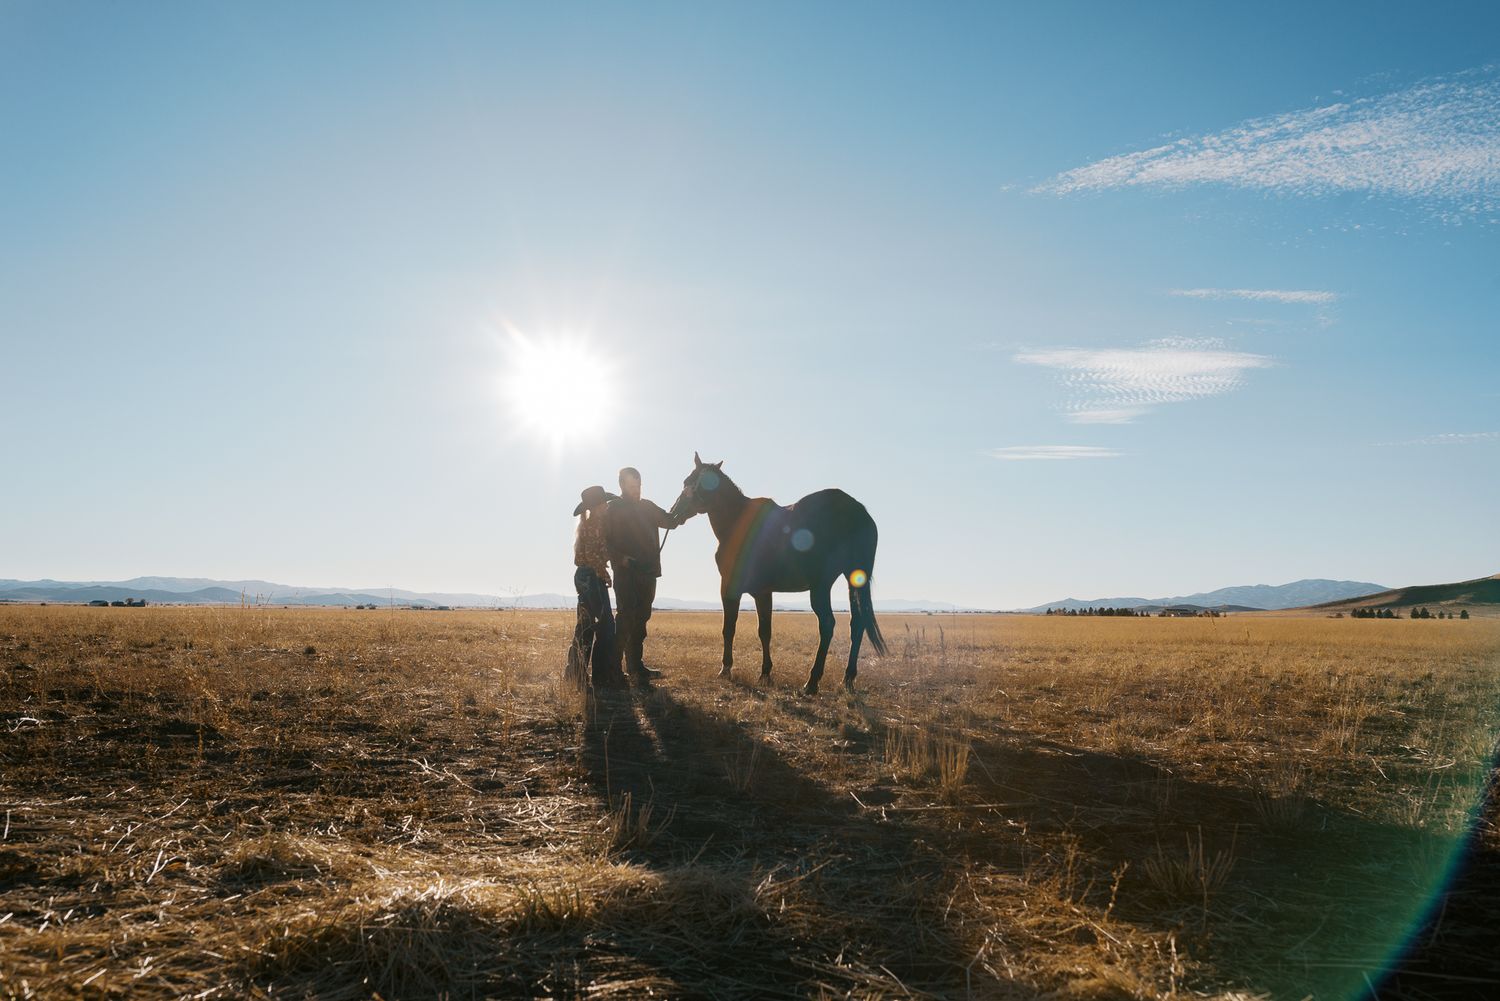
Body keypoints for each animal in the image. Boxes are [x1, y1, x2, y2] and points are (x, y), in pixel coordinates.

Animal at [667, 453, 888, 694]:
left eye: (690, 482)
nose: (674, 513)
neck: (737, 522)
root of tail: (857, 512)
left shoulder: (729, 587)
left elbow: (729, 628)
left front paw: (726, 669)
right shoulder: (763, 592)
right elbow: (765, 631)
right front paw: (765, 674)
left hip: (821, 586)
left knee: (827, 625)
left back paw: (812, 682)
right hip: (853, 579)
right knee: (857, 624)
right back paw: (847, 678)